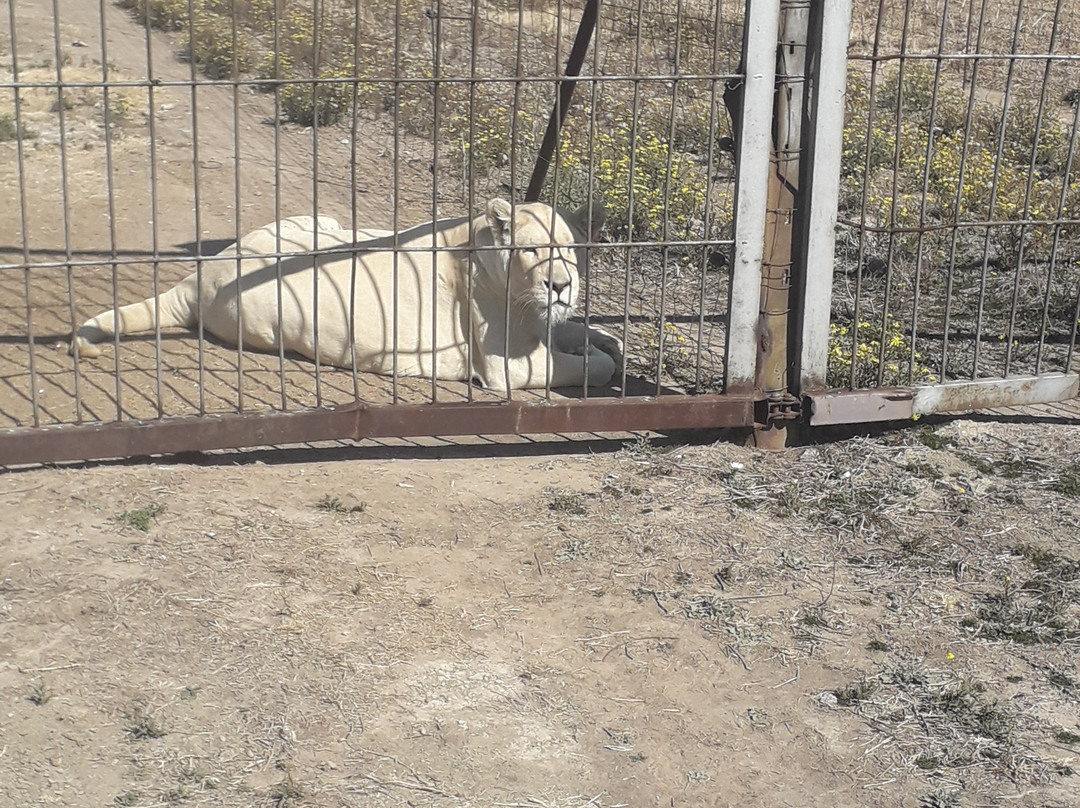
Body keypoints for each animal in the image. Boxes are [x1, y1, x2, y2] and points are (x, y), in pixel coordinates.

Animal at [70, 199, 623, 391]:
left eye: (570, 251)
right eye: (533, 251)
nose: (561, 285)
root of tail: (200, 276)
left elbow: (574, 330)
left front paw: (602, 336)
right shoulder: (508, 368)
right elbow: (583, 368)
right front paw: (602, 357)